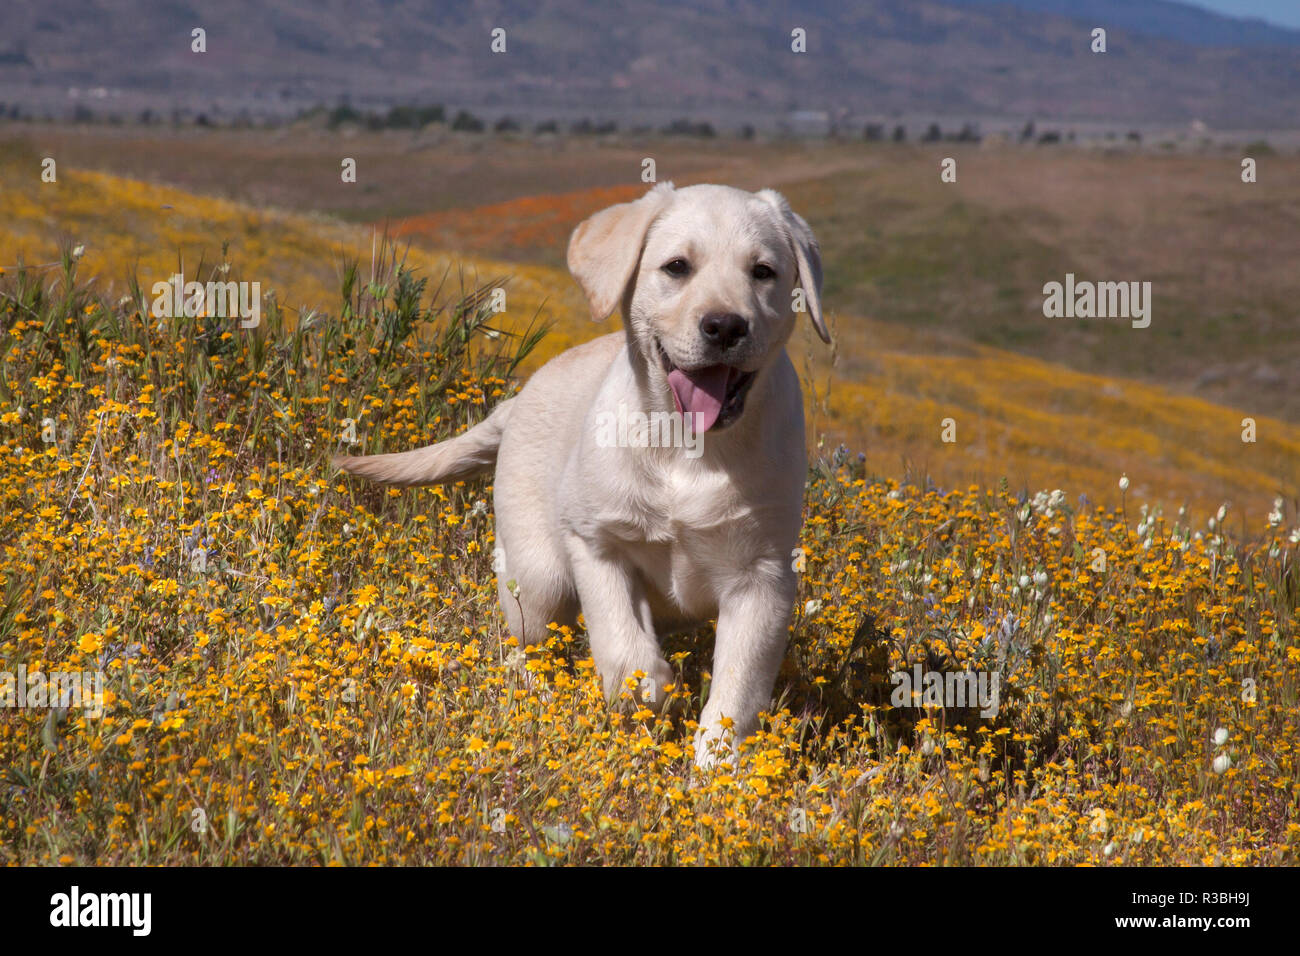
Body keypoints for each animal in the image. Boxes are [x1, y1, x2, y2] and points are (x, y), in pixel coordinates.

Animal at [332, 180, 821, 770]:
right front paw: (651, 691)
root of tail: (514, 404)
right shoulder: (595, 541)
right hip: (537, 574)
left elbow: (738, 691)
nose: (725, 325)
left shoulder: (764, 578)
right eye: (677, 267)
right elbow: (622, 647)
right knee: (526, 647)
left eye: (764, 272)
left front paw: (717, 772)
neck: (688, 450)